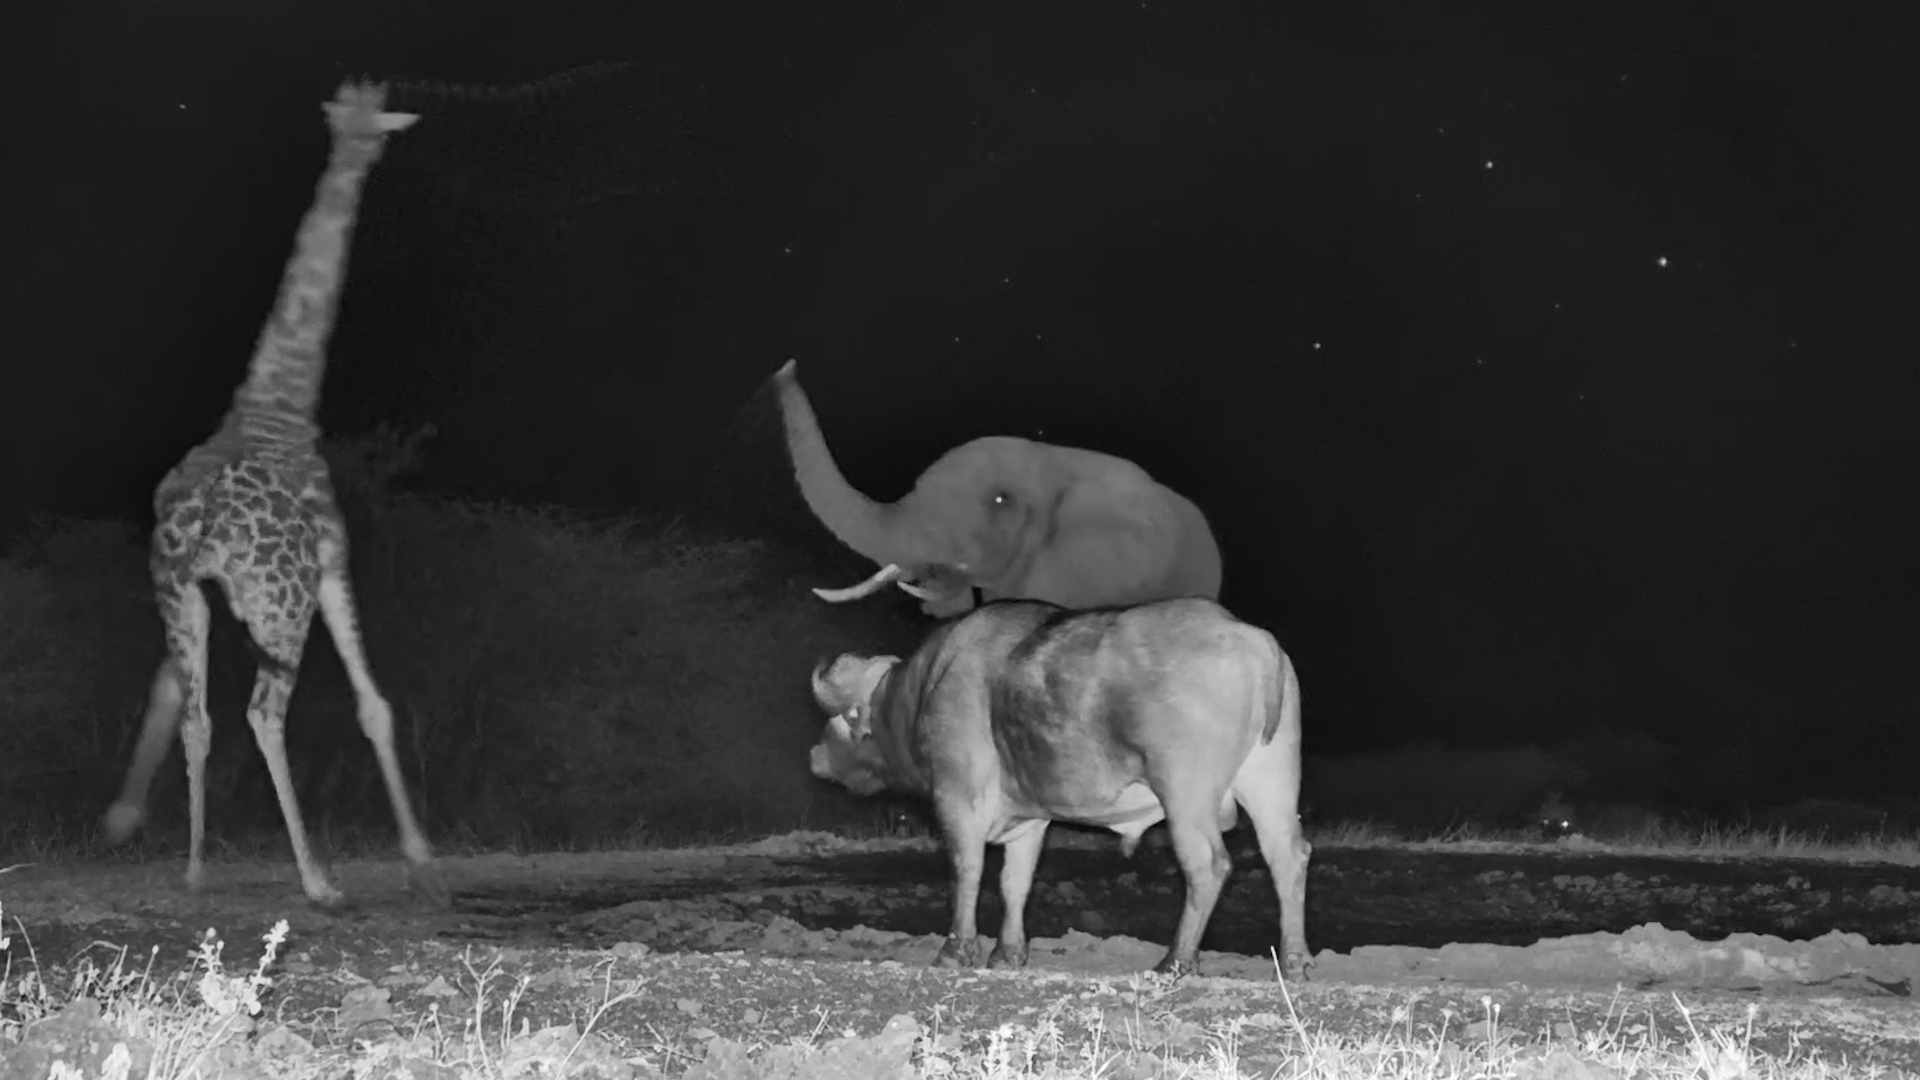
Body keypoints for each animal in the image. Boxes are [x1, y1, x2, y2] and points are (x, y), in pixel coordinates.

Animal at [102, 82, 449, 910]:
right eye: (370, 126)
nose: (368, 143)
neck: (278, 404)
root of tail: (203, 518)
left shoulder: (190, 593)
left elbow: (169, 696)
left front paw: (127, 821)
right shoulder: (333, 561)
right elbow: (375, 705)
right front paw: (422, 857)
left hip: (181, 593)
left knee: (200, 712)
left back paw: (196, 869)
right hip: (280, 607)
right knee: (261, 713)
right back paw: (317, 879)